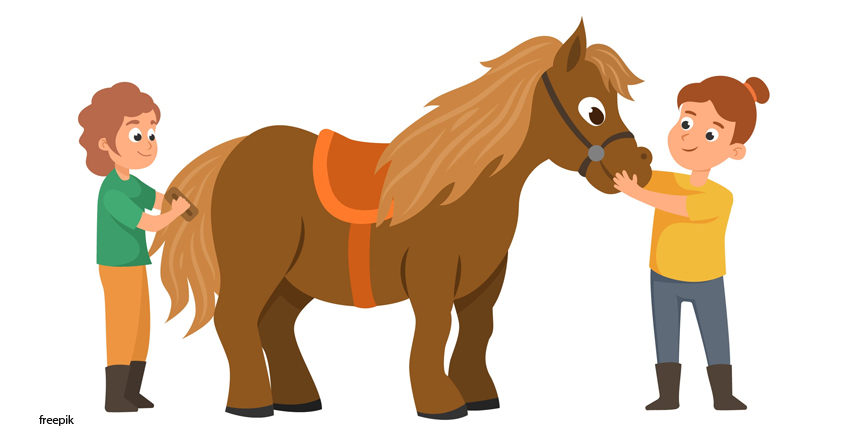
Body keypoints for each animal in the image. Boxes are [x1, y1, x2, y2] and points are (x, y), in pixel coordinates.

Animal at [149, 20, 653, 420]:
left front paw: (480, 397)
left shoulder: (485, 281)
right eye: (593, 109)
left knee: (274, 324)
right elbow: (435, 330)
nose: (639, 168)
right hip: (258, 266)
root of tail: (235, 150)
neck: (471, 185)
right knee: (235, 320)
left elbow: (478, 331)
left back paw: (299, 400)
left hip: (294, 278)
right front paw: (441, 404)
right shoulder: (432, 274)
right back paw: (251, 404)